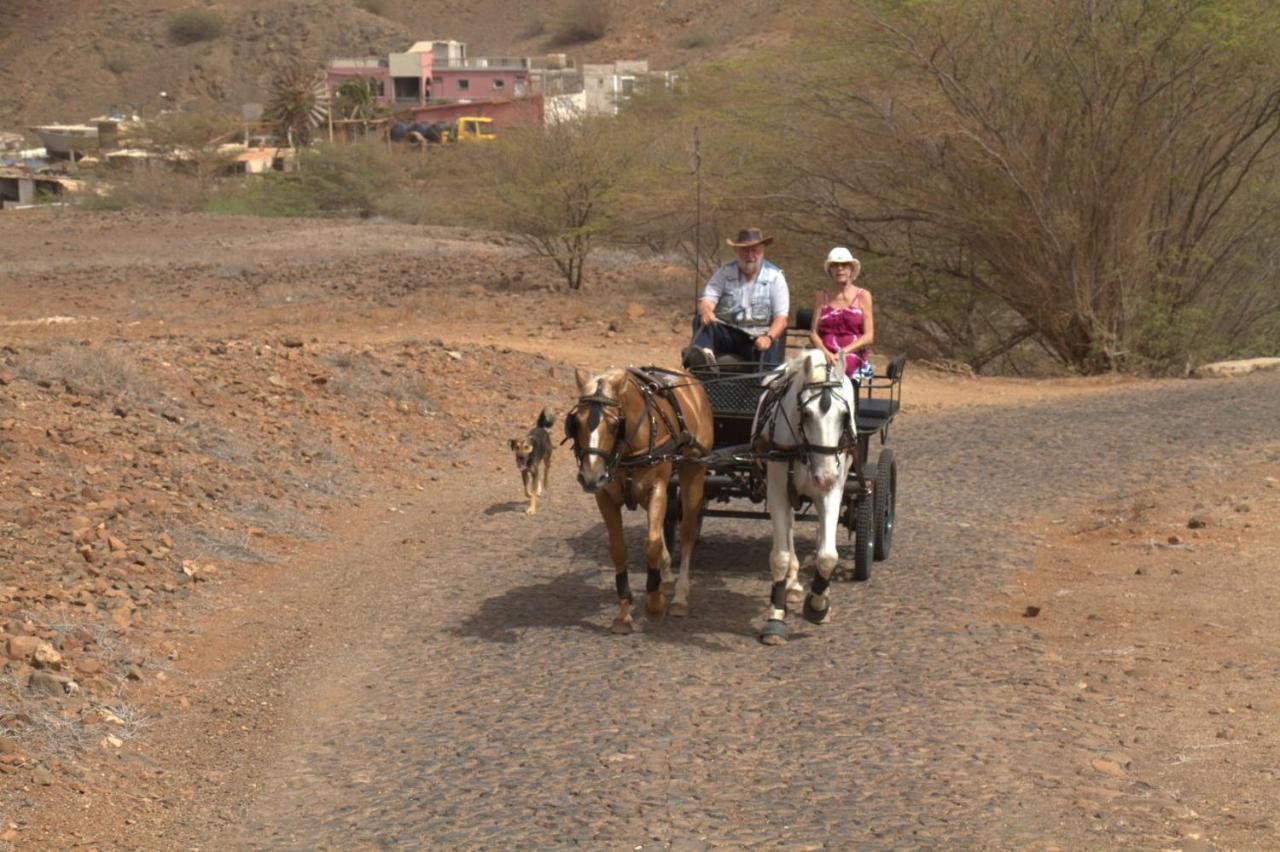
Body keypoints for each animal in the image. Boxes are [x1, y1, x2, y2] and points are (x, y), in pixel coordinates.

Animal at [565, 365, 716, 629]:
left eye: (614, 424)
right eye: (577, 422)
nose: (591, 476)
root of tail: (688, 377)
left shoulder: (656, 489)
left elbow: (652, 544)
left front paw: (654, 604)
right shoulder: (605, 496)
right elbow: (618, 550)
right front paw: (624, 613)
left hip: (693, 470)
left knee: (687, 531)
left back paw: (679, 596)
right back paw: (667, 577)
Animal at [747, 347, 860, 639]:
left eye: (844, 416)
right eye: (806, 414)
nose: (825, 476)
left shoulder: (832, 490)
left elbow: (828, 556)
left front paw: (818, 605)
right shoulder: (777, 490)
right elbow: (780, 556)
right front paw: (776, 614)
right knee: (788, 529)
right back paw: (793, 583)